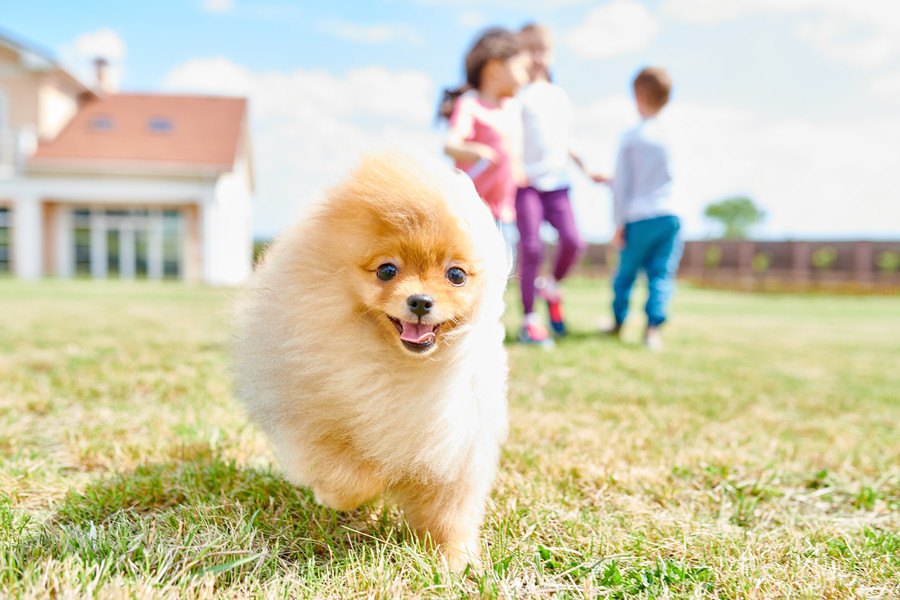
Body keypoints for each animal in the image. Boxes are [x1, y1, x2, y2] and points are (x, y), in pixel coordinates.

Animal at [232, 152, 510, 568]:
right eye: (387, 270)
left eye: (456, 275)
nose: (420, 301)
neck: (400, 368)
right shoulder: (315, 427)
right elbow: (352, 475)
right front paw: (345, 493)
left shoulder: (455, 450)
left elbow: (449, 516)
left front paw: (453, 563)